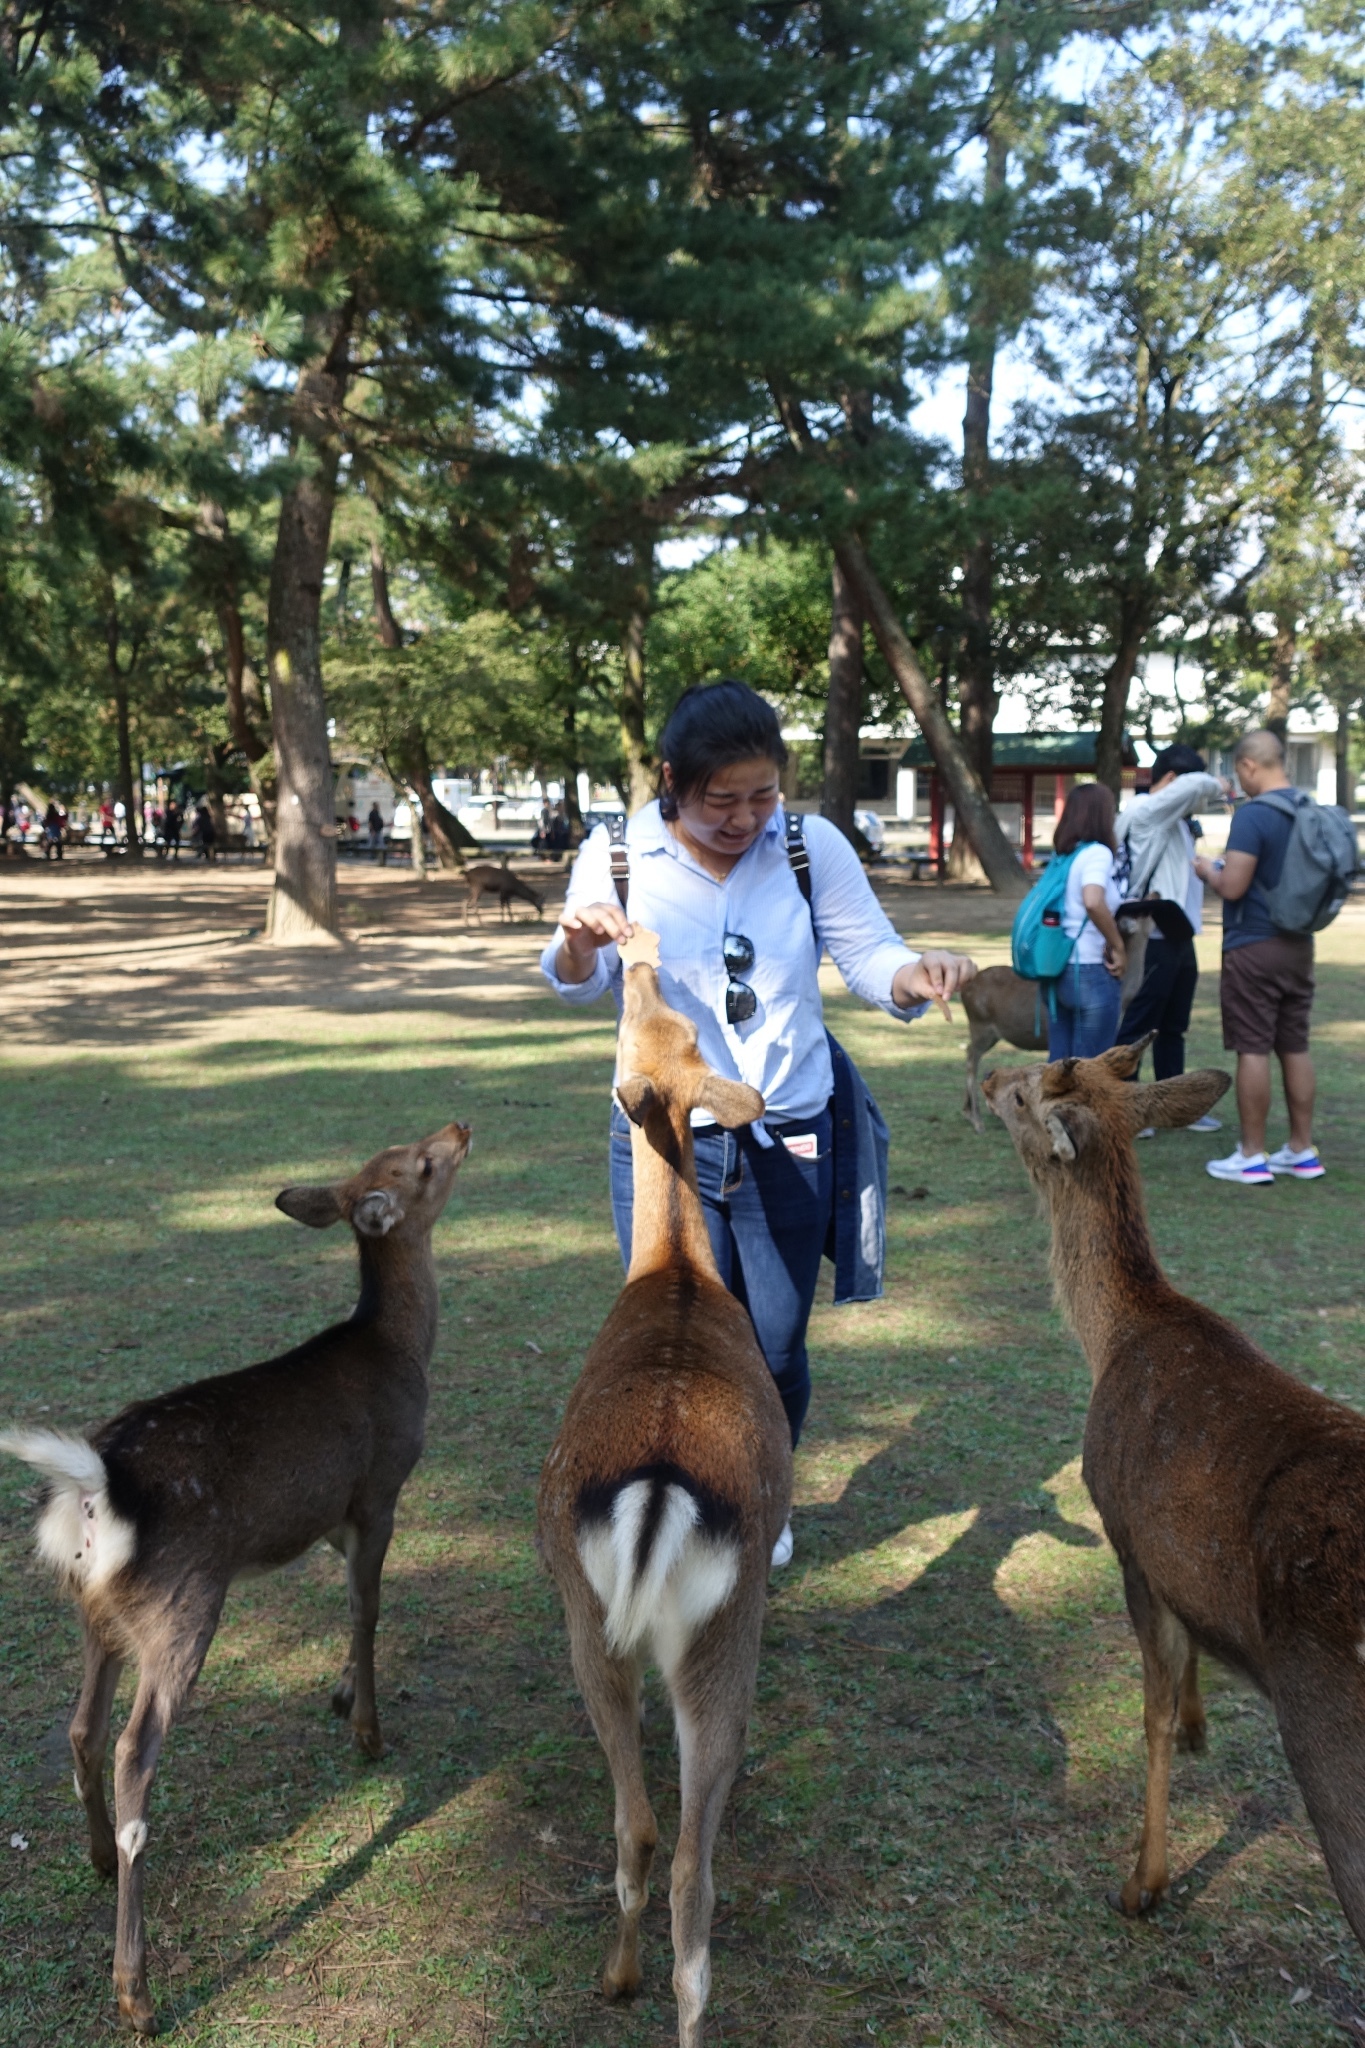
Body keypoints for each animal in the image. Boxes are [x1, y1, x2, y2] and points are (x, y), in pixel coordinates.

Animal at [0, 1122, 472, 2031]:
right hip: (183, 1607)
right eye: (422, 1164)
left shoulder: (330, 1518)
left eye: (406, 1146)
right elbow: (367, 1608)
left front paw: (338, 1696)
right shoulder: (380, 1490)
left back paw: (96, 1859)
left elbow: (347, 1604)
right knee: (132, 1751)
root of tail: (96, 1489)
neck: (402, 1350)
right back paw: (137, 1993)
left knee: (79, 1728)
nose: (459, 1128)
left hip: (96, 1612)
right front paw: (368, 1733)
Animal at [986, 1048, 1365, 1941]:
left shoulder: (1124, 1532)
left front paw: (1142, 1883)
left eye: (1020, 1094)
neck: (1113, 1335)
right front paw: (1200, 1725)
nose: (981, 1079)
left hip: (1329, 1735)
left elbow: (1148, 1713)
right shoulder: (1174, 1562)